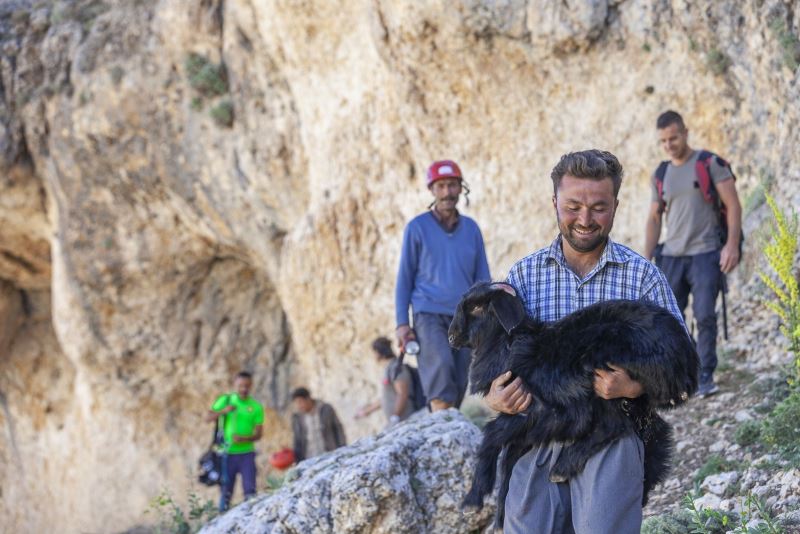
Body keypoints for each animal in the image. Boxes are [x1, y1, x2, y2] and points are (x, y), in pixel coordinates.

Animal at [450, 282, 700, 528]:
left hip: (605, 375)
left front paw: (472, 501)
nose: (452, 337)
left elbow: (492, 436)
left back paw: (562, 467)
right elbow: (508, 460)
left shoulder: (541, 411)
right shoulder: (525, 423)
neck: (506, 347)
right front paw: (501, 517)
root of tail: (686, 358)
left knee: (614, 425)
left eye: (477, 308)